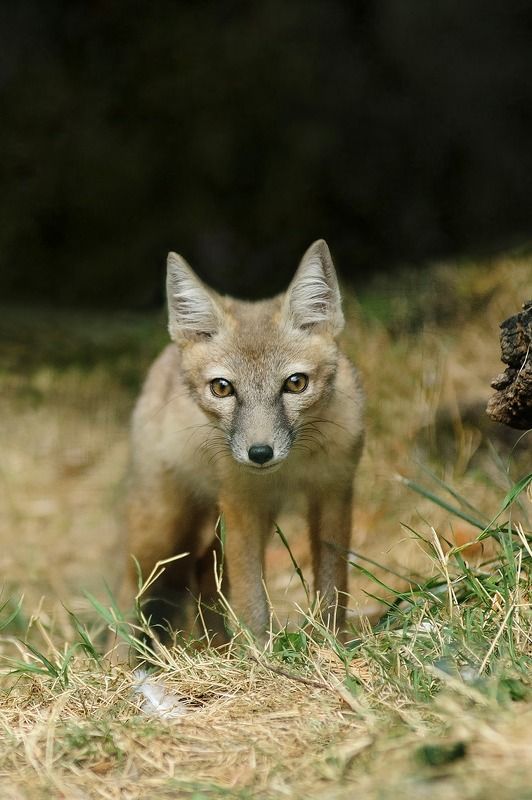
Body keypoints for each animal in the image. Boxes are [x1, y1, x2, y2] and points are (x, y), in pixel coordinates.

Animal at [116, 239, 364, 650]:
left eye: (296, 383)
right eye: (222, 388)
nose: (260, 453)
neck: (293, 465)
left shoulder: (334, 491)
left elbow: (333, 586)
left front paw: (332, 645)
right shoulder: (242, 503)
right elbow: (252, 598)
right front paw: (261, 655)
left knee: (203, 575)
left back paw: (217, 649)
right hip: (162, 529)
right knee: (130, 590)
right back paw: (118, 659)